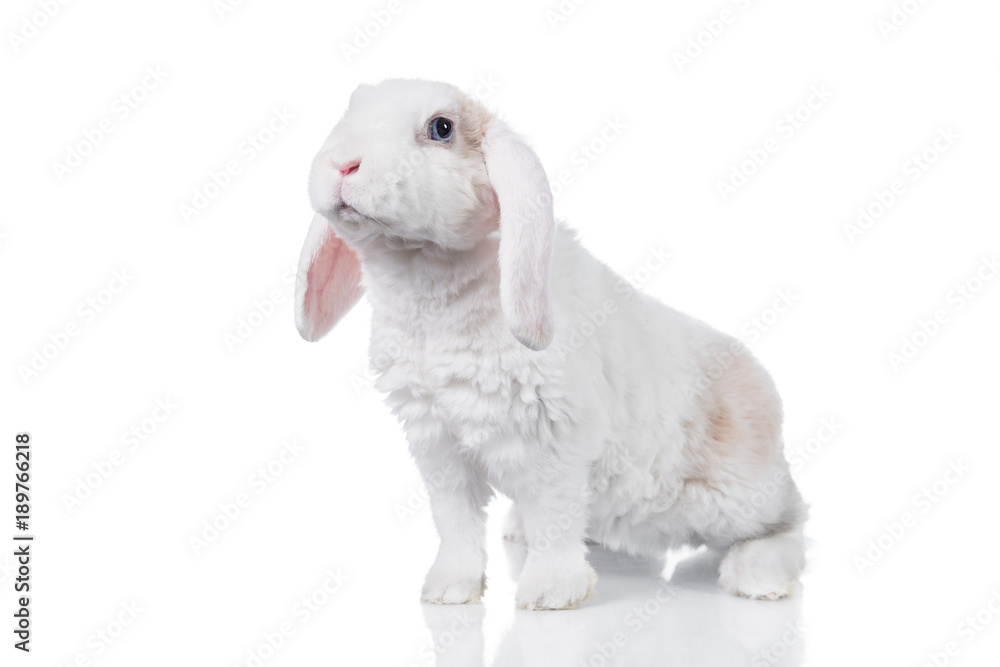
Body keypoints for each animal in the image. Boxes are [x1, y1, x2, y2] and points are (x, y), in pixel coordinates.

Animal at [295, 79, 807, 610]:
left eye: (441, 128)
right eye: (349, 111)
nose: (343, 164)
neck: (428, 286)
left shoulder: (555, 440)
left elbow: (555, 517)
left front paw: (550, 594)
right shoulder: (439, 445)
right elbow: (455, 523)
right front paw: (448, 591)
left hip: (734, 499)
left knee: (789, 526)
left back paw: (757, 578)